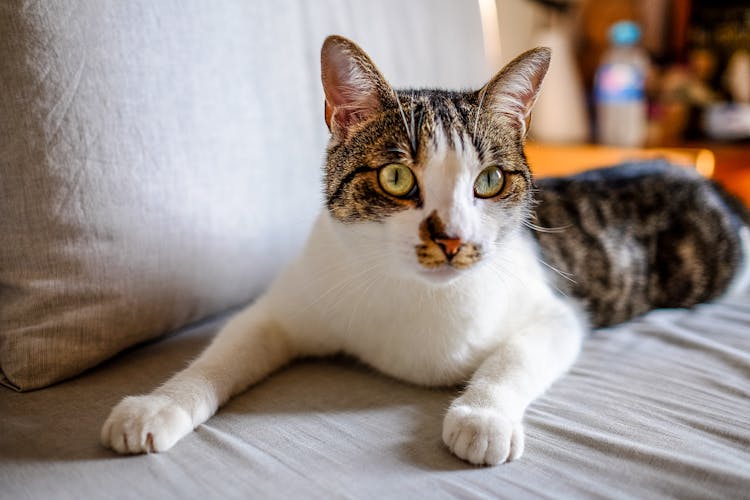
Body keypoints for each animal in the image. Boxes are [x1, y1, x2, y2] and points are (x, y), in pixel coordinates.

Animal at [101, 34, 750, 464]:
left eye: (489, 180)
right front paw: (156, 406)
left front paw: (482, 416)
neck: (415, 300)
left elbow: (514, 357)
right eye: (395, 178)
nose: (451, 237)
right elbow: (223, 353)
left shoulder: (558, 313)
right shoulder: (286, 306)